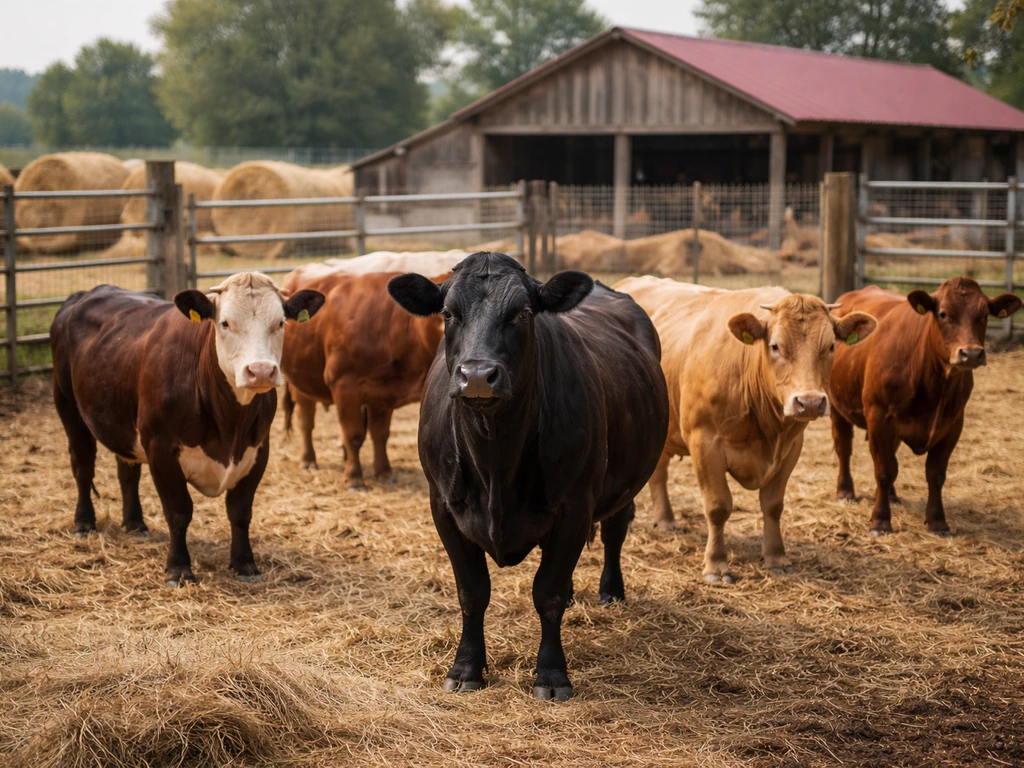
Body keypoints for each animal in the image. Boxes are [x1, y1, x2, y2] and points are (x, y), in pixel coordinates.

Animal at [49, 273, 325, 587]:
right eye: (225, 323)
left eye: (280, 323)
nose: (261, 371)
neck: (230, 425)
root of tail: (82, 295)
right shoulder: (160, 448)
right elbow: (179, 512)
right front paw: (178, 569)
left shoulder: (258, 450)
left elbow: (240, 512)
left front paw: (245, 564)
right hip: (68, 406)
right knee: (82, 466)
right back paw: (84, 522)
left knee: (127, 472)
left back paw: (135, 523)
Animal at [280, 269, 447, 490]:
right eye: (445, 312)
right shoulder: (344, 385)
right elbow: (354, 435)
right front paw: (354, 478)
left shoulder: (384, 393)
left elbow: (380, 435)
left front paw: (384, 473)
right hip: (301, 384)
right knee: (306, 423)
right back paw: (308, 461)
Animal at [387, 252, 669, 701]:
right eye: (447, 313)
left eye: (522, 313)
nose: (478, 375)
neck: (495, 462)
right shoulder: (444, 506)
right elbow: (472, 592)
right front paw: (466, 668)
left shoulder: (575, 504)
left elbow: (547, 592)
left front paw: (552, 675)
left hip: (620, 486)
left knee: (614, 530)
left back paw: (611, 591)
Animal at [615, 277, 877, 583]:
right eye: (775, 346)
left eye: (831, 346)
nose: (810, 402)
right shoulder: (705, 444)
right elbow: (718, 507)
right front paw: (716, 565)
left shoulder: (791, 448)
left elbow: (773, 505)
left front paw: (776, 557)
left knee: (658, 473)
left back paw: (666, 521)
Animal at [828, 278, 1021, 535]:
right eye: (943, 313)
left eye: (984, 315)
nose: (970, 353)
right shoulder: (878, 417)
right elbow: (884, 471)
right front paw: (880, 521)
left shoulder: (953, 425)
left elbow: (935, 474)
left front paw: (938, 521)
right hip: (837, 406)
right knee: (844, 448)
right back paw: (845, 492)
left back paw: (892, 496)